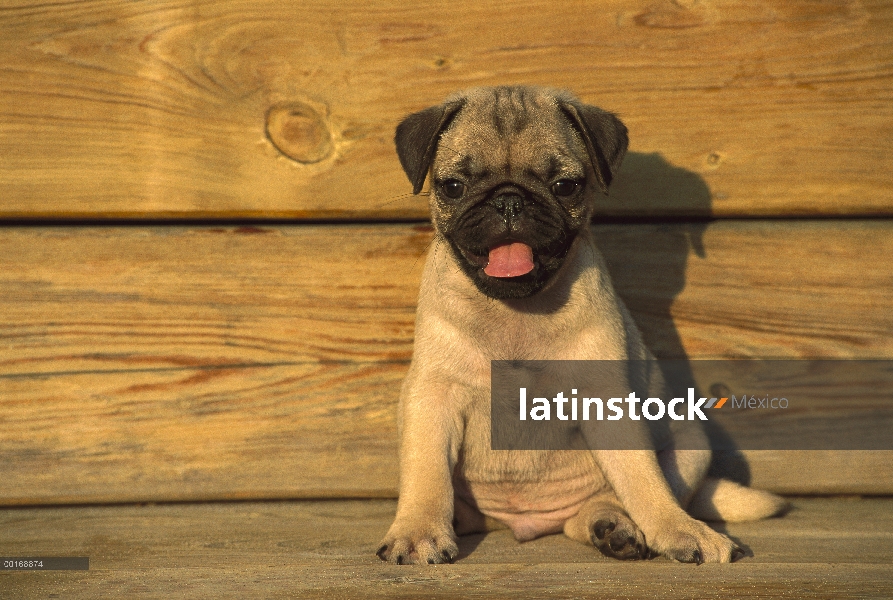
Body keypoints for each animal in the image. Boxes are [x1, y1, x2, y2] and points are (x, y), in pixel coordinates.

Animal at [376, 86, 788, 564]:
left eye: (565, 186)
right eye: (453, 187)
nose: (509, 200)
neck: (516, 311)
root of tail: (525, 522)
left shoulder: (607, 400)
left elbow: (643, 481)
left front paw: (679, 529)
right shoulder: (433, 396)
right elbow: (427, 475)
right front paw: (418, 531)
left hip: (690, 444)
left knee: (612, 498)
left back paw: (613, 526)